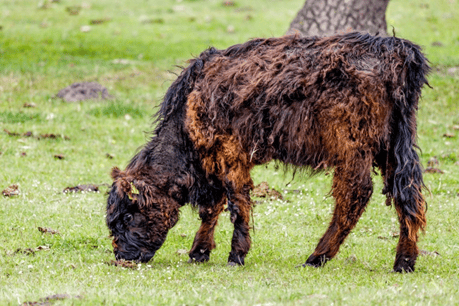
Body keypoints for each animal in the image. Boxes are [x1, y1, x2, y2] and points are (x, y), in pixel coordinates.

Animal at [106, 32, 430, 272]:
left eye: (127, 217)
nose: (123, 257)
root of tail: (396, 49)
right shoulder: (215, 160)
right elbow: (212, 207)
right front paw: (199, 252)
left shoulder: (230, 152)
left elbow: (236, 202)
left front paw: (235, 255)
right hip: (394, 146)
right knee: (407, 194)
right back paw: (404, 262)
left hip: (353, 147)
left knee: (355, 194)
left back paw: (316, 258)